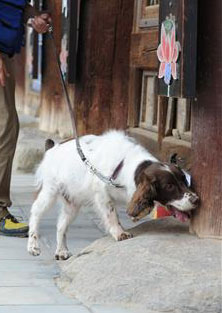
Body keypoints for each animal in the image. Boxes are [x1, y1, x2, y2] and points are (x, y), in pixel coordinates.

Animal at [26, 129, 199, 258]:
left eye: (184, 180)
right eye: (169, 186)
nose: (196, 199)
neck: (127, 165)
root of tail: (52, 148)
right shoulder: (101, 194)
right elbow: (112, 214)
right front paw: (120, 233)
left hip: (72, 202)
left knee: (61, 225)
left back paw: (61, 251)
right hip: (50, 191)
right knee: (35, 212)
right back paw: (33, 245)